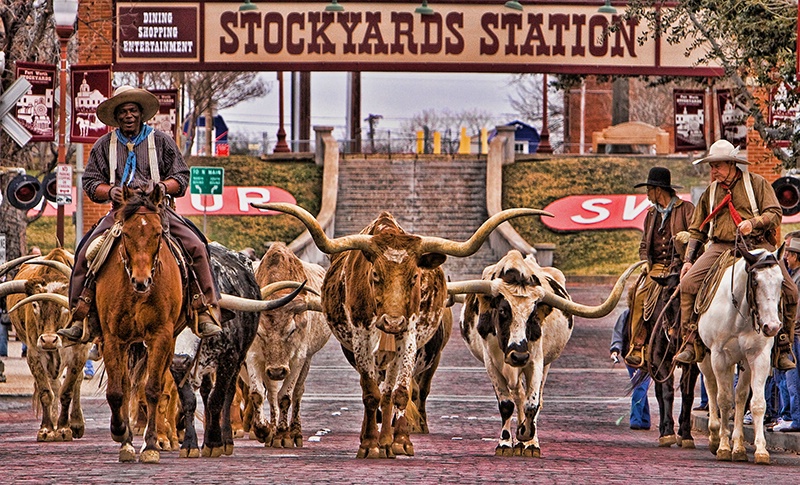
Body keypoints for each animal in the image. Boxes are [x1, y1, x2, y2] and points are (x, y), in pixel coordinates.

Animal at [97, 183, 183, 464]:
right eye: (126, 233)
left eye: (157, 233)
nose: (141, 281)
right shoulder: (112, 337)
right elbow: (117, 391)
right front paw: (120, 433)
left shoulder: (161, 335)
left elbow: (153, 389)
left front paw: (151, 445)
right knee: (124, 385)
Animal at [696, 244, 784, 464]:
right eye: (755, 281)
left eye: (781, 282)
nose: (772, 327)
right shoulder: (719, 357)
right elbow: (724, 400)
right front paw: (723, 447)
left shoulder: (758, 357)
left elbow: (755, 402)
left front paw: (759, 450)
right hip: (706, 358)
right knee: (711, 388)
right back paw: (714, 436)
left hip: (741, 363)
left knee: (740, 396)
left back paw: (738, 445)